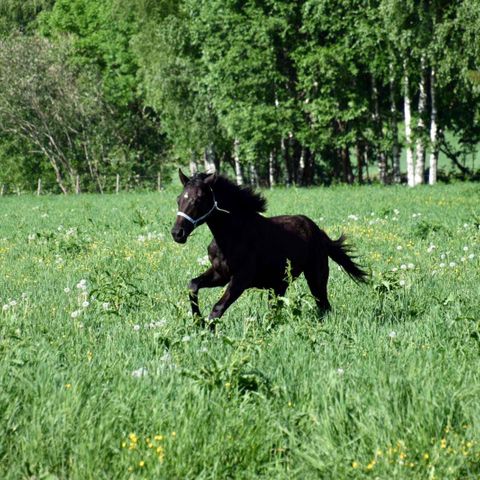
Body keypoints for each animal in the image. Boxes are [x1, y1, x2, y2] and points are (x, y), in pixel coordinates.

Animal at [171, 170, 366, 326]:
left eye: (198, 199)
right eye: (179, 199)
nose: (177, 233)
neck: (232, 235)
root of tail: (318, 232)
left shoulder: (241, 279)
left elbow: (217, 308)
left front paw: (207, 332)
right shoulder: (221, 274)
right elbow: (193, 285)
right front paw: (198, 322)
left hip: (315, 277)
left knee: (323, 305)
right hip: (279, 284)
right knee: (278, 307)